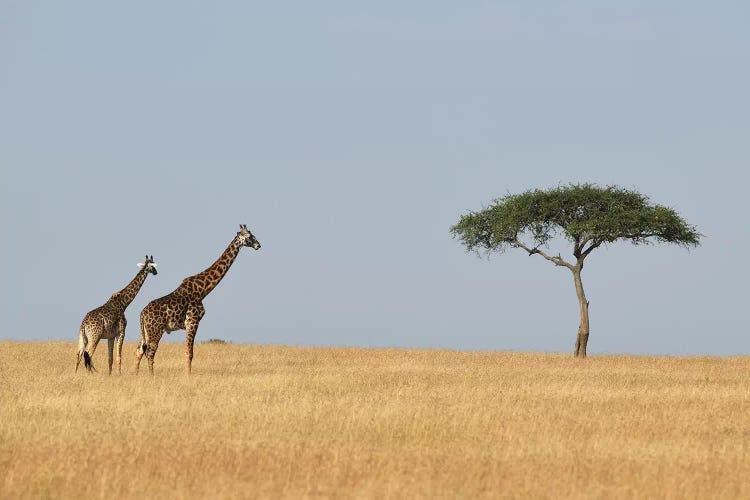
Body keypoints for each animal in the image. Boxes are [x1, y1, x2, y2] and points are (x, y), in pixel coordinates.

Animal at [136, 224, 260, 375]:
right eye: (249, 236)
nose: (258, 245)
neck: (203, 290)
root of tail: (142, 314)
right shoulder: (192, 321)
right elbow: (189, 353)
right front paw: (188, 376)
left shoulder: (190, 323)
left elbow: (188, 352)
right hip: (156, 330)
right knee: (150, 352)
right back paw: (151, 376)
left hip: (146, 331)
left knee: (140, 350)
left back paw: (136, 375)